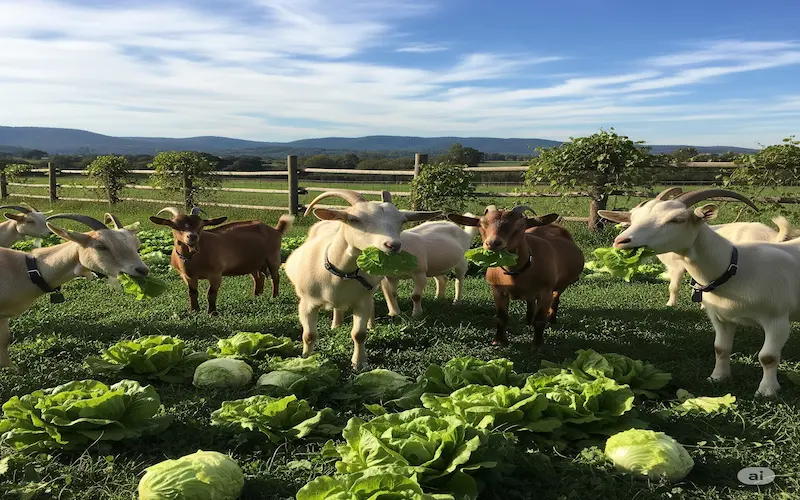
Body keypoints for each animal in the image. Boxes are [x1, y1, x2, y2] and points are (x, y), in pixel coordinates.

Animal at [0, 213, 147, 368]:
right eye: (101, 246)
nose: (143, 270)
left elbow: (5, 340)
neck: (25, 270)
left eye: (136, 245)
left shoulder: (3, 316)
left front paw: (10, 369)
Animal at [150, 207, 293, 316]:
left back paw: (274, 296)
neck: (193, 258)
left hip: (273, 257)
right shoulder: (187, 276)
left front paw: (212, 313)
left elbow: (211, 293)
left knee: (275, 277)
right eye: (175, 225)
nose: (192, 237)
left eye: (201, 226)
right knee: (259, 278)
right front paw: (194, 310)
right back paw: (256, 296)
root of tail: (275, 230)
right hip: (253, 263)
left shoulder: (216, 273)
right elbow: (192, 293)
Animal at [284, 189, 440, 368]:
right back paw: (336, 325)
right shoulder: (307, 303)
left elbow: (359, 334)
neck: (342, 274)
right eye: (354, 220)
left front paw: (358, 362)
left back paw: (370, 325)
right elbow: (309, 335)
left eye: (402, 221)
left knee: (370, 304)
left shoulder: (361, 301)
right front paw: (306, 359)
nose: (393, 245)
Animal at [448, 206, 584, 348]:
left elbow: (540, 320)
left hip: (562, 284)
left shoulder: (545, 291)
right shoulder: (497, 290)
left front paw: (537, 345)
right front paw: (499, 341)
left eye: (520, 226)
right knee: (531, 301)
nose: (493, 243)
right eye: (482, 224)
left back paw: (551, 319)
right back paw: (529, 319)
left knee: (556, 297)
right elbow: (501, 317)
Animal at [599, 187, 800, 397]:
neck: (735, 267)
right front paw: (717, 377)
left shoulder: (776, 320)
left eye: (677, 219)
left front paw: (767, 390)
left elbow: (768, 357)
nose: (621, 241)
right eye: (634, 218)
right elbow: (721, 348)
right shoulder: (721, 318)